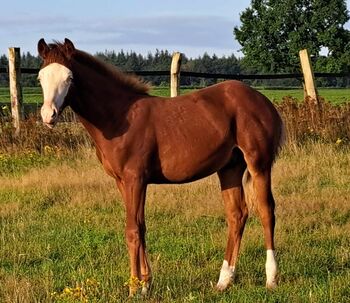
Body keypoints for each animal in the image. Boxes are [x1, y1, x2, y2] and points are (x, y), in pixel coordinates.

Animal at [37, 38, 284, 296]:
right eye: (40, 77)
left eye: (69, 78)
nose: (48, 115)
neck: (119, 117)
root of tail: (263, 101)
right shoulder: (122, 182)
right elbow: (141, 227)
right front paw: (146, 284)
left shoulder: (135, 179)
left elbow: (132, 230)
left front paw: (134, 288)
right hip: (230, 168)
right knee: (237, 215)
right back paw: (224, 280)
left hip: (259, 164)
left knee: (266, 210)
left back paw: (271, 278)